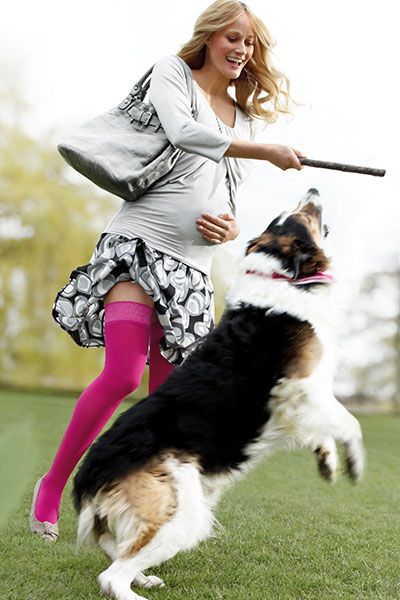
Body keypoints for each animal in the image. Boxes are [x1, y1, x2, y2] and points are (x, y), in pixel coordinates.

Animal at [73, 189, 364, 600]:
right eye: (300, 217)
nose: (313, 191)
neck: (282, 273)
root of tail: (88, 475)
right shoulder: (300, 385)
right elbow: (349, 423)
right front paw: (354, 463)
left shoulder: (302, 399)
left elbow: (325, 428)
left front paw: (327, 461)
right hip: (182, 514)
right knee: (111, 576)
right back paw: (135, 589)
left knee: (116, 551)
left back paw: (144, 577)